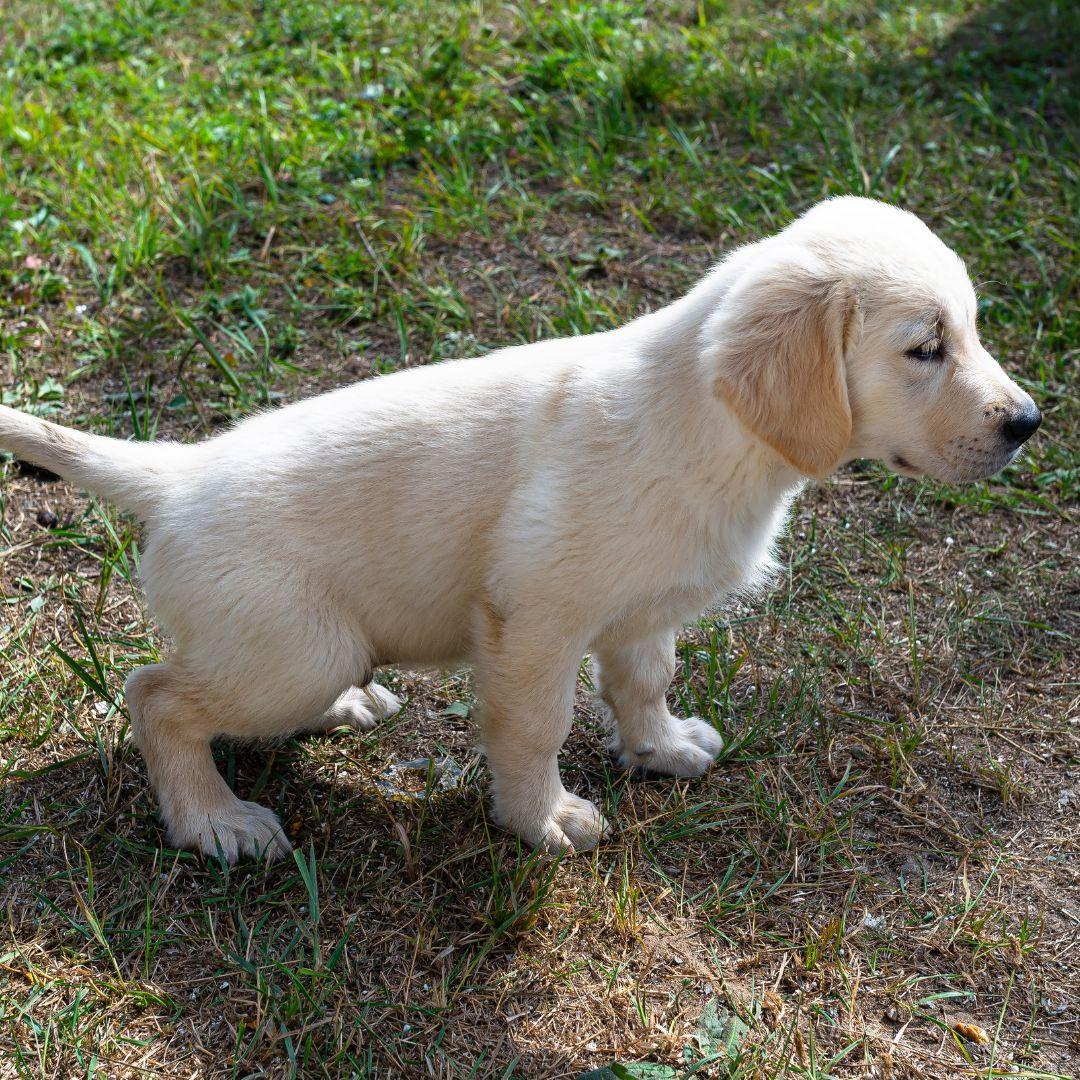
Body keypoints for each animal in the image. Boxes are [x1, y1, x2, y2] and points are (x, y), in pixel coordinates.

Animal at [2, 198, 1045, 864]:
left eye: (972, 330)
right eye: (925, 348)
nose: (1028, 422)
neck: (710, 432)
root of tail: (176, 474)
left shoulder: (643, 612)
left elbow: (644, 682)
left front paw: (659, 748)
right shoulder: (537, 619)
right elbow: (536, 727)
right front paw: (539, 819)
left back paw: (342, 710)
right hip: (295, 645)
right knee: (157, 696)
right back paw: (213, 820)